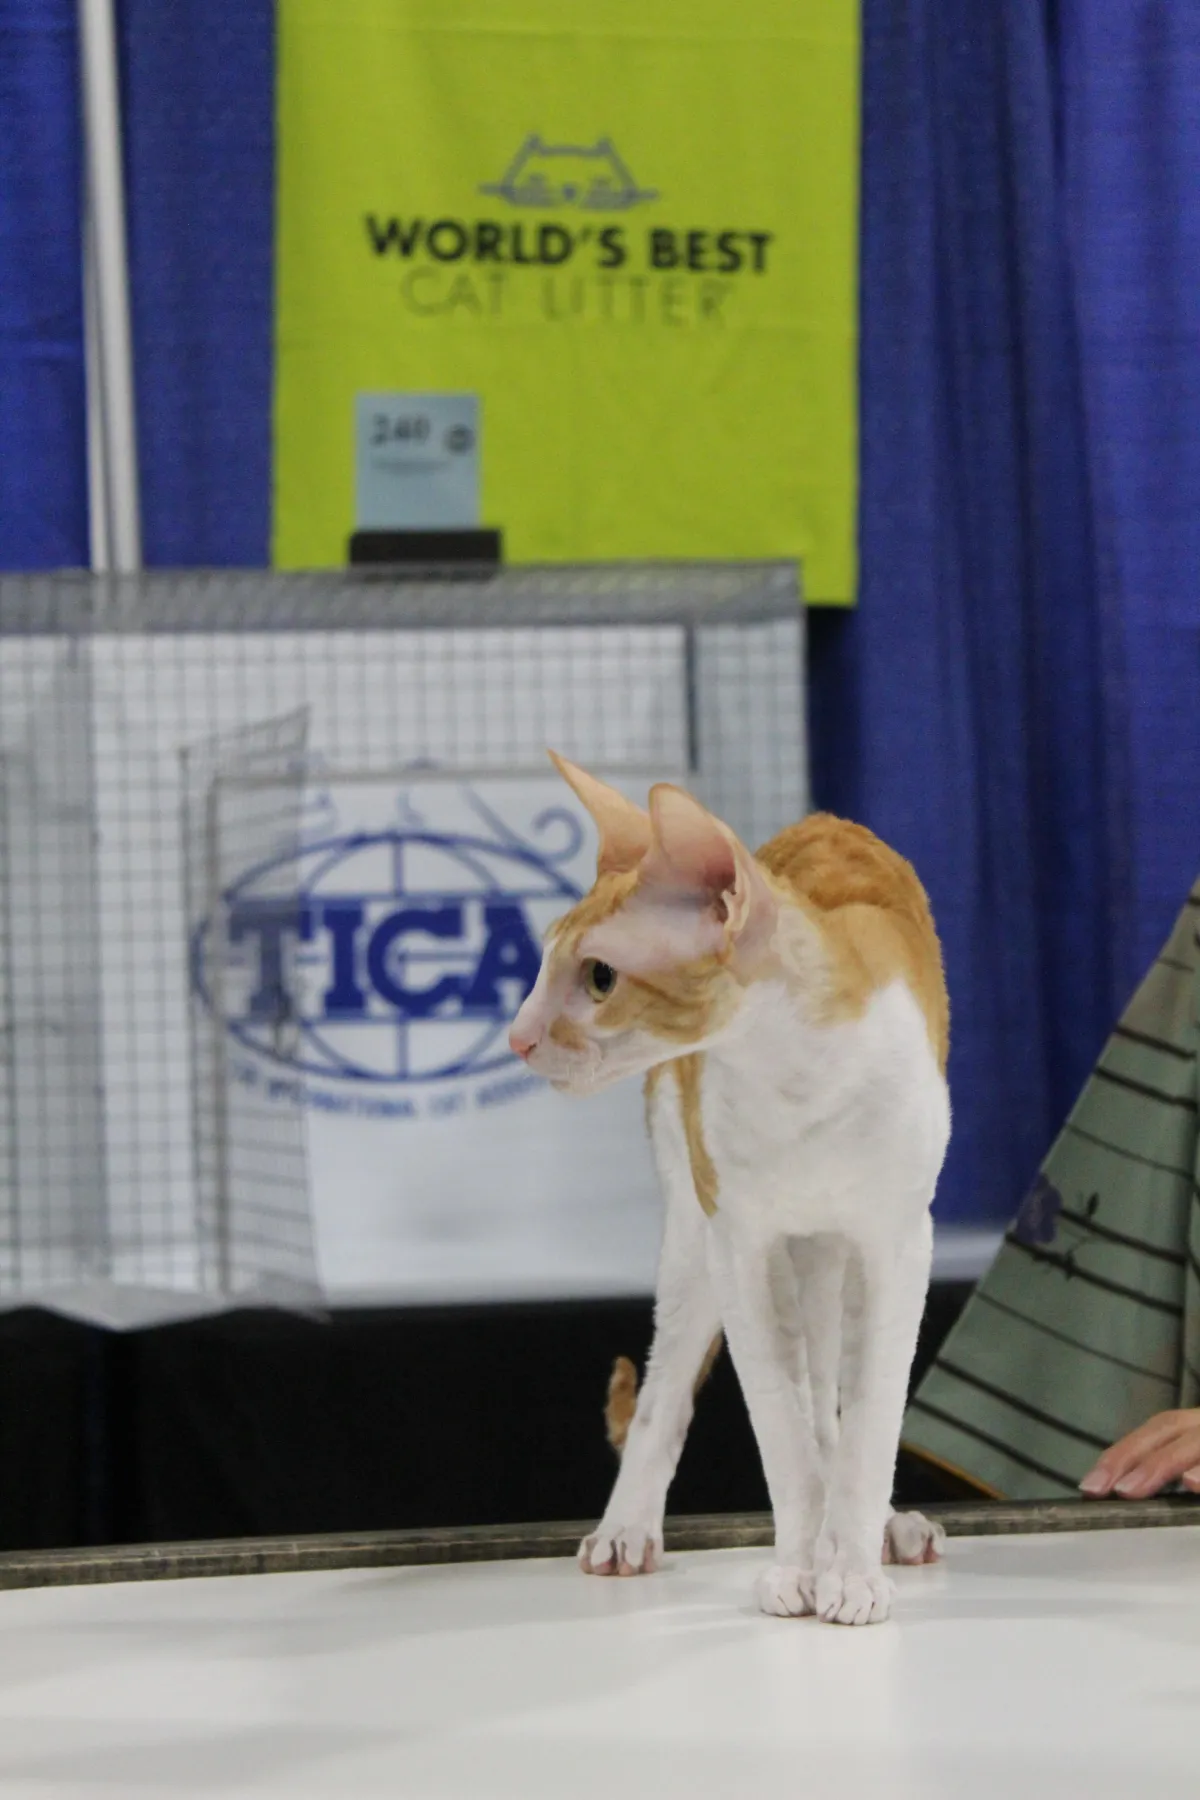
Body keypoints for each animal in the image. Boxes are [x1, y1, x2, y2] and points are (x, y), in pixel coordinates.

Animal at [509, 754, 951, 1625]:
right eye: (543, 964)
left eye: (601, 978)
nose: (518, 1035)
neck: (796, 1075)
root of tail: (822, 818)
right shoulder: (740, 1243)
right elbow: (781, 1422)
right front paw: (802, 1568)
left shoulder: (897, 1242)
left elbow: (870, 1418)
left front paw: (850, 1567)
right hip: (695, 1236)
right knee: (672, 1389)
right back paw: (628, 1531)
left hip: (833, 1249)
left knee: (837, 1392)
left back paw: (881, 1529)